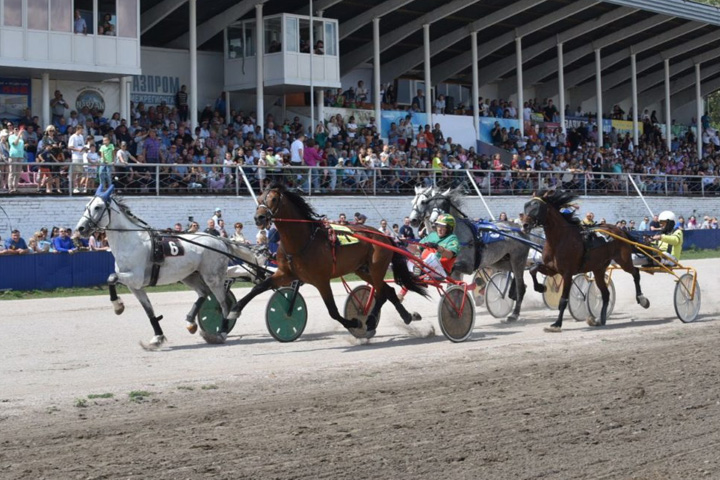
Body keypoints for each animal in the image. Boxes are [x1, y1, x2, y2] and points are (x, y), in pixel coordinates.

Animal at [75, 186, 264, 346]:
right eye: (86, 206)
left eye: (98, 207)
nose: (80, 228)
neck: (131, 241)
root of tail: (219, 240)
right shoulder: (135, 286)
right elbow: (149, 311)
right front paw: (157, 337)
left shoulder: (135, 278)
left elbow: (111, 277)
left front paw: (118, 306)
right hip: (190, 275)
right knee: (204, 293)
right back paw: (191, 322)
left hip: (213, 277)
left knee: (224, 304)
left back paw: (222, 332)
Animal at [221, 184, 428, 342]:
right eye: (259, 198)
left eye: (272, 199)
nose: (259, 218)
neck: (302, 240)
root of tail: (383, 235)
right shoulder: (285, 274)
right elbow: (258, 288)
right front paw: (232, 313)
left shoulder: (321, 280)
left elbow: (333, 311)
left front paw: (355, 322)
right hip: (362, 269)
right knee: (388, 291)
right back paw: (407, 316)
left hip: (377, 267)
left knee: (381, 293)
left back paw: (370, 321)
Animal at [520, 189, 648, 332]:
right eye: (525, 206)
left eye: (537, 207)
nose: (524, 225)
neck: (559, 239)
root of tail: (619, 230)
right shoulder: (552, 269)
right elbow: (533, 269)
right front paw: (540, 287)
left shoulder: (567, 273)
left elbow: (563, 299)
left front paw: (557, 324)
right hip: (599, 269)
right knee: (605, 294)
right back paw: (600, 319)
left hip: (623, 260)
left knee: (635, 272)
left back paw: (642, 299)